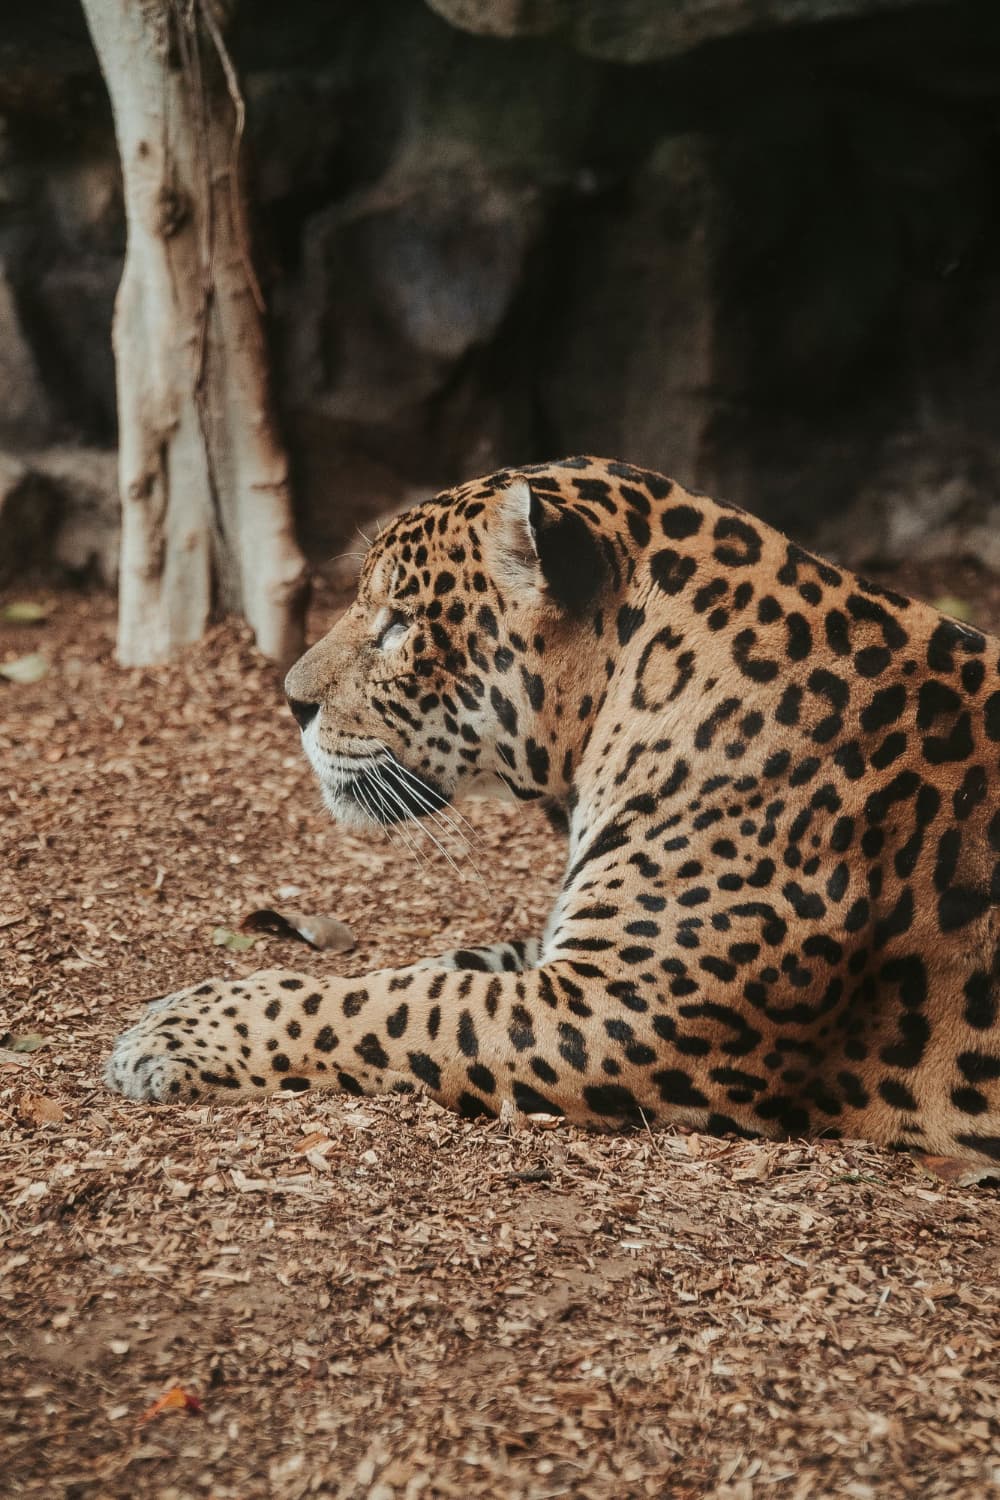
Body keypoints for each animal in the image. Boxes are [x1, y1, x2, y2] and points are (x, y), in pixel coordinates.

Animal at [106, 457, 1000, 1163]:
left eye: (401, 625)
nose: (290, 700)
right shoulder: (572, 958)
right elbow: (426, 970)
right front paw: (174, 1003)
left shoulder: (612, 1009)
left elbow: (392, 1004)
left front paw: (168, 1035)